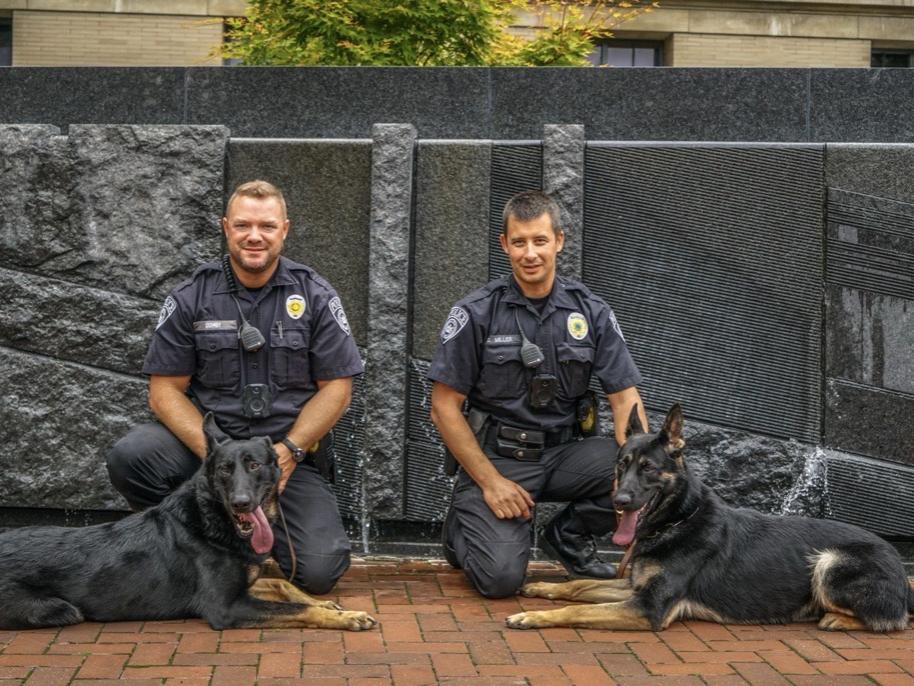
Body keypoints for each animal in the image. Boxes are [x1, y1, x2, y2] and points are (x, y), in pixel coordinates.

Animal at [0, 414, 374, 636]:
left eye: (254, 465)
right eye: (224, 470)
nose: (241, 503)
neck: (211, 519)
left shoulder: (246, 585)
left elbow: (283, 584)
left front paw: (325, 603)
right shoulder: (226, 607)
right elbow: (295, 608)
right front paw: (344, 617)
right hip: (59, 609)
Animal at [506, 406, 912, 636]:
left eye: (648, 468)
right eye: (622, 465)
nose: (619, 502)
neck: (679, 520)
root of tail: (899, 565)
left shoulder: (648, 609)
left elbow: (578, 608)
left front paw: (532, 617)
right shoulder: (636, 589)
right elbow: (579, 588)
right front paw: (541, 588)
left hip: (829, 562)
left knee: (894, 619)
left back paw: (837, 619)